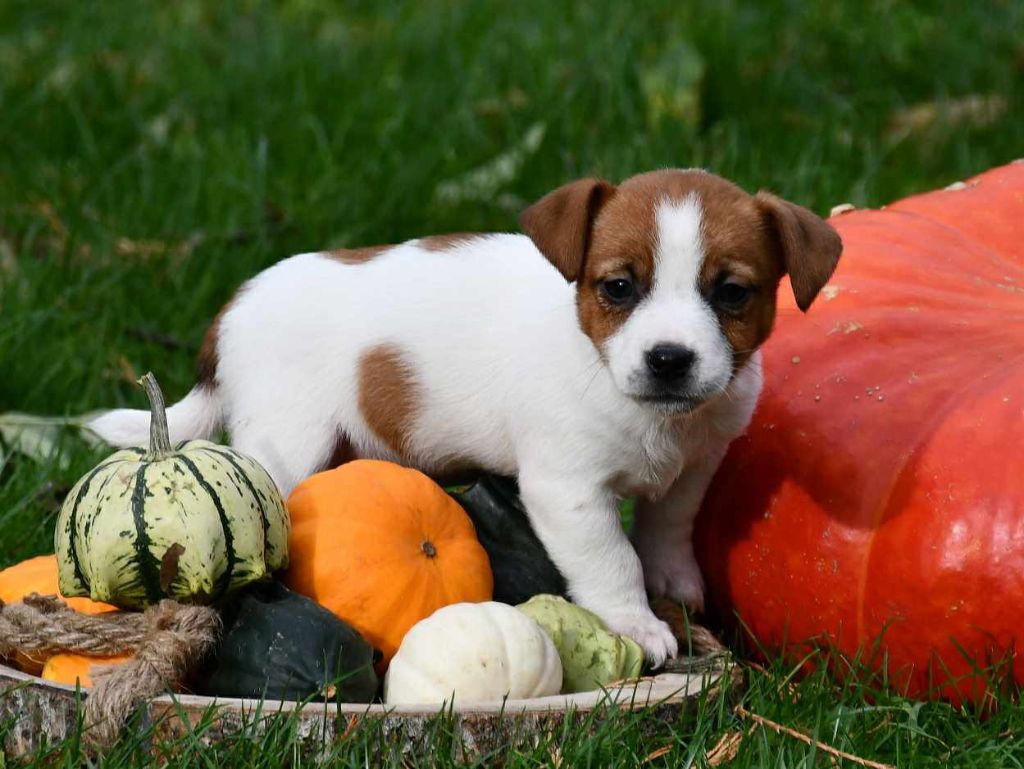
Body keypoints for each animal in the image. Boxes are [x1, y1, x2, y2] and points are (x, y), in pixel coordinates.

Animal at [90, 171, 839, 663]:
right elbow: (612, 557)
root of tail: (234, 305)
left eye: (732, 292)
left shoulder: (694, 469)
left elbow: (666, 529)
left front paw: (674, 587)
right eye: (619, 287)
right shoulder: (568, 492)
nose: (670, 359)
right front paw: (635, 622)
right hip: (286, 443)